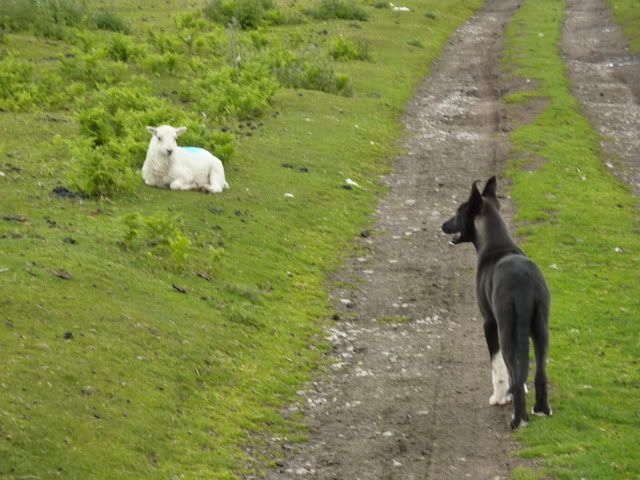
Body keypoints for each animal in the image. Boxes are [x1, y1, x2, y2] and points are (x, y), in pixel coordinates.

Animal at [442, 176, 552, 428]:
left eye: (458, 212)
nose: (443, 225)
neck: (496, 244)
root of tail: (524, 285)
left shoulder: (489, 323)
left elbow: (497, 366)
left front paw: (500, 397)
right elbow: (519, 372)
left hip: (506, 328)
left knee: (510, 364)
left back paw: (518, 420)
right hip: (540, 327)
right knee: (540, 372)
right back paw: (541, 409)